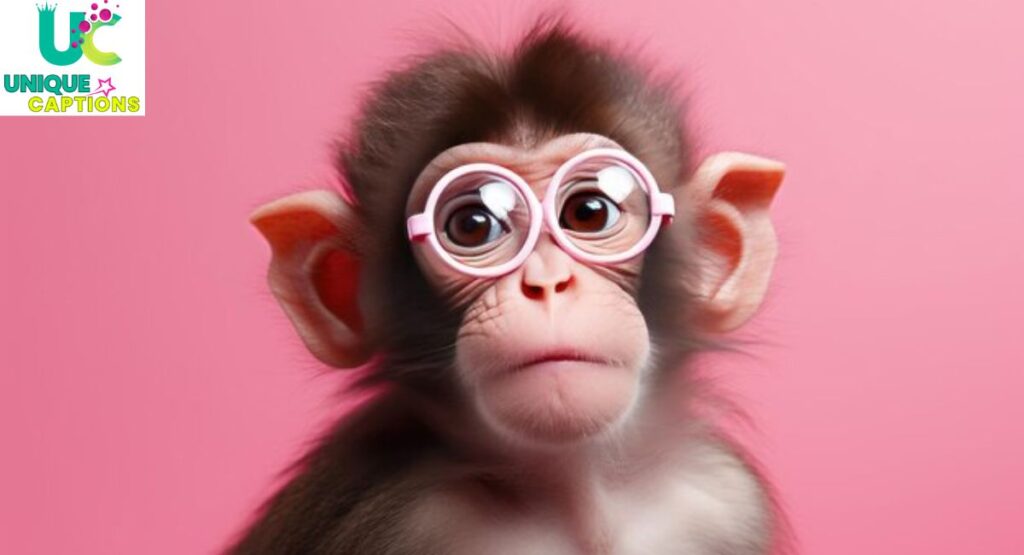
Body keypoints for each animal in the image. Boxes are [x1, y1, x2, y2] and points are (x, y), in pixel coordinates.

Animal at [227, 18, 788, 555]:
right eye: (474, 225)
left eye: (589, 212)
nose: (548, 283)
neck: (578, 499)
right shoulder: (393, 517)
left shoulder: (727, 498)